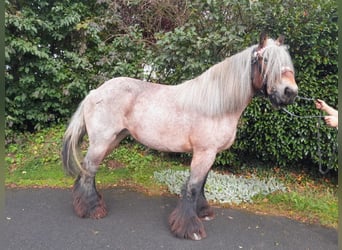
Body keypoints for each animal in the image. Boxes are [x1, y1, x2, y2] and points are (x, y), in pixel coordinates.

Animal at [62, 32, 298, 240]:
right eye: (266, 59)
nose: (290, 92)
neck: (217, 105)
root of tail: (94, 92)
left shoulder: (209, 154)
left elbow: (202, 184)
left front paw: (203, 212)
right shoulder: (204, 153)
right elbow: (192, 187)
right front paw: (190, 228)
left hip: (112, 140)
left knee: (88, 170)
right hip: (101, 142)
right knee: (89, 170)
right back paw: (92, 209)